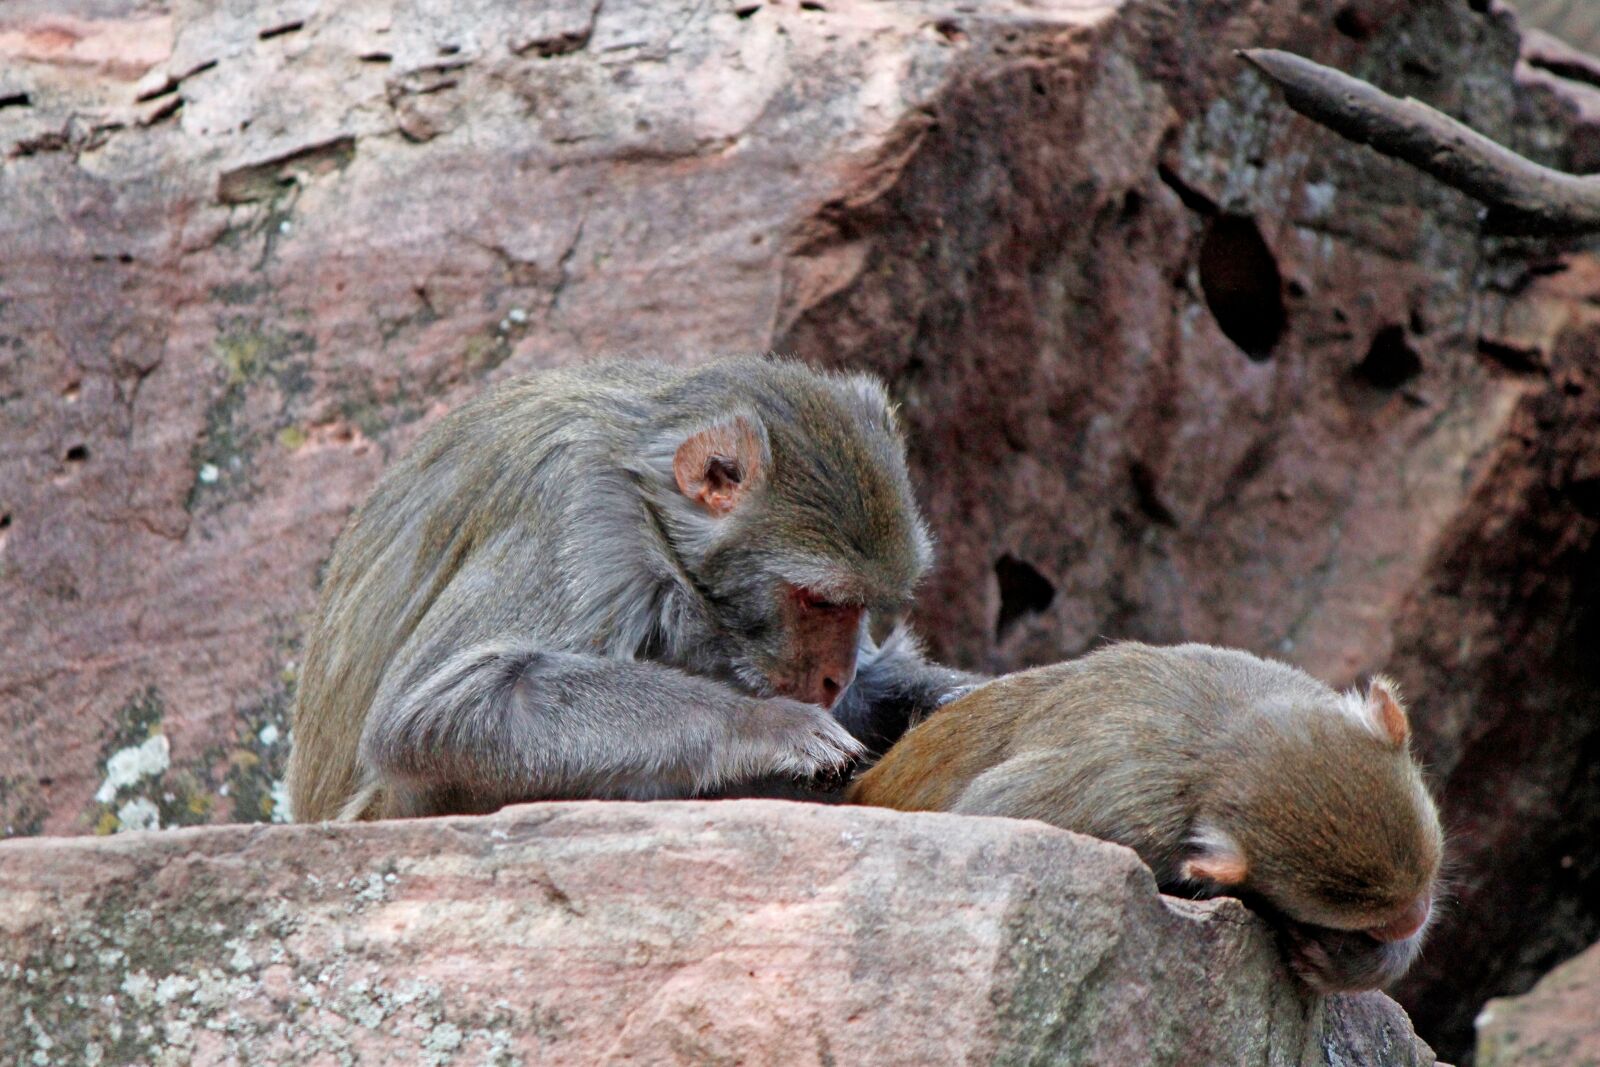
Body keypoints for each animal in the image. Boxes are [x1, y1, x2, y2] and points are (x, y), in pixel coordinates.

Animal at [292, 355, 979, 825]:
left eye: (857, 606)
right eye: (821, 601)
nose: (835, 677)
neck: (644, 496)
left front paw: (940, 693)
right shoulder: (573, 512)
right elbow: (435, 709)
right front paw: (766, 725)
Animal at [851, 639, 1452, 998]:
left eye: (1418, 891)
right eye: (1365, 915)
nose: (1413, 917)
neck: (1227, 738)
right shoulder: (1131, 809)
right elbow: (990, 812)